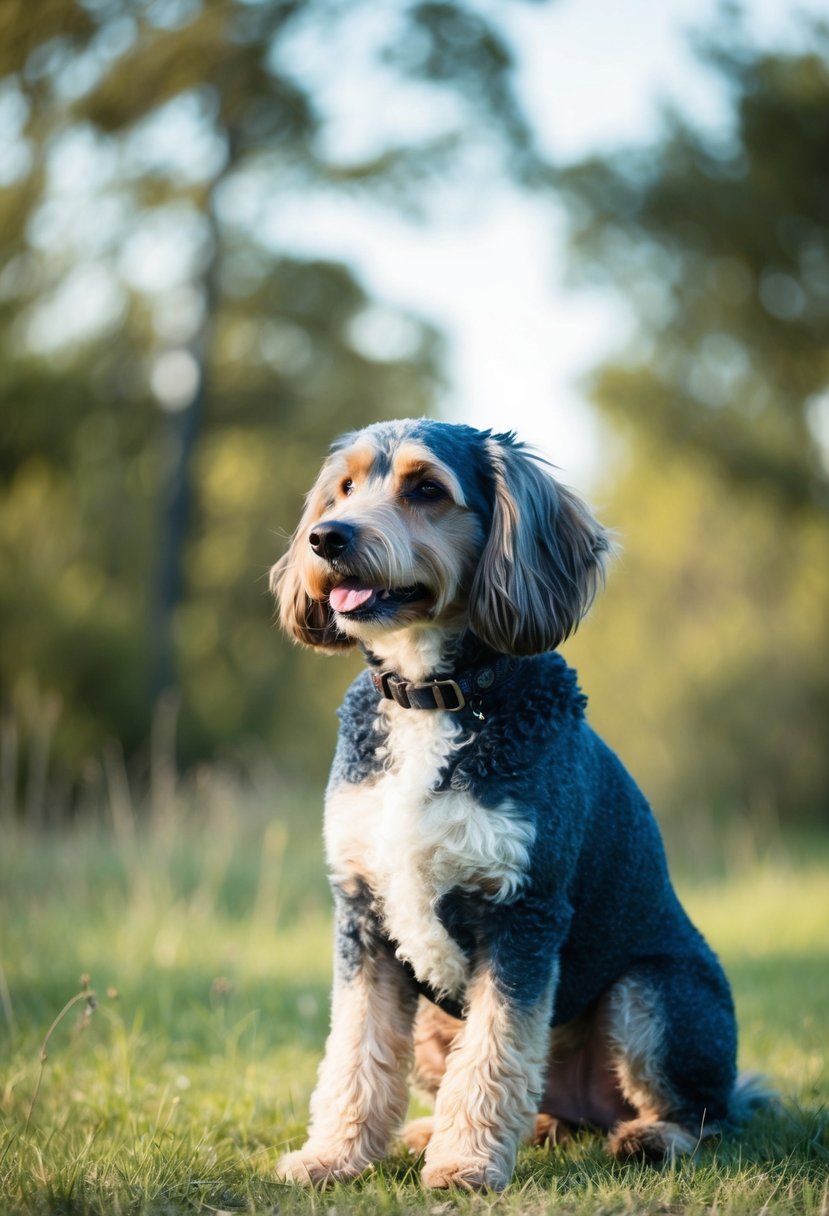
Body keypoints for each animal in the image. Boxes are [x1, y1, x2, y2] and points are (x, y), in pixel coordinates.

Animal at [272, 418, 743, 1186]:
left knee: (709, 1114)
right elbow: (355, 1049)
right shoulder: (363, 915)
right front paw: (333, 1156)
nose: (325, 538)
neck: (433, 697)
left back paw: (651, 1137)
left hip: (653, 996)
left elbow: (496, 1047)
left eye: (426, 489)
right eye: (342, 488)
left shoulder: (522, 912)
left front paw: (464, 1162)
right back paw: (436, 1131)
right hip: (439, 1023)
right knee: (537, 1103)